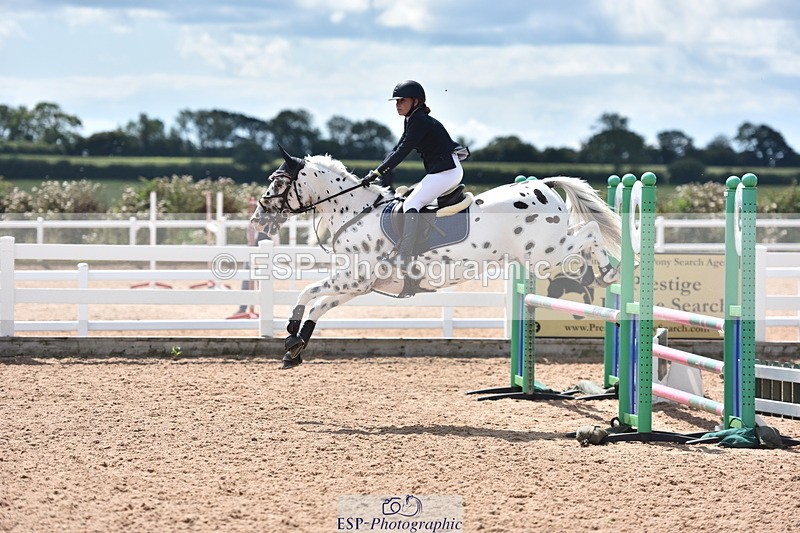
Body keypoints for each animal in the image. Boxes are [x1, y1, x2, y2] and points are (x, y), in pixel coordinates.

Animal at [251, 147, 622, 369]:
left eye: (277, 183)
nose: (257, 220)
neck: (356, 212)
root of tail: (543, 184)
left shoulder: (352, 278)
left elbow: (307, 293)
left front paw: (290, 332)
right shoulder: (357, 285)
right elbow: (318, 305)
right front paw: (295, 346)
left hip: (547, 251)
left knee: (590, 230)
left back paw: (608, 272)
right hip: (543, 253)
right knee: (585, 232)